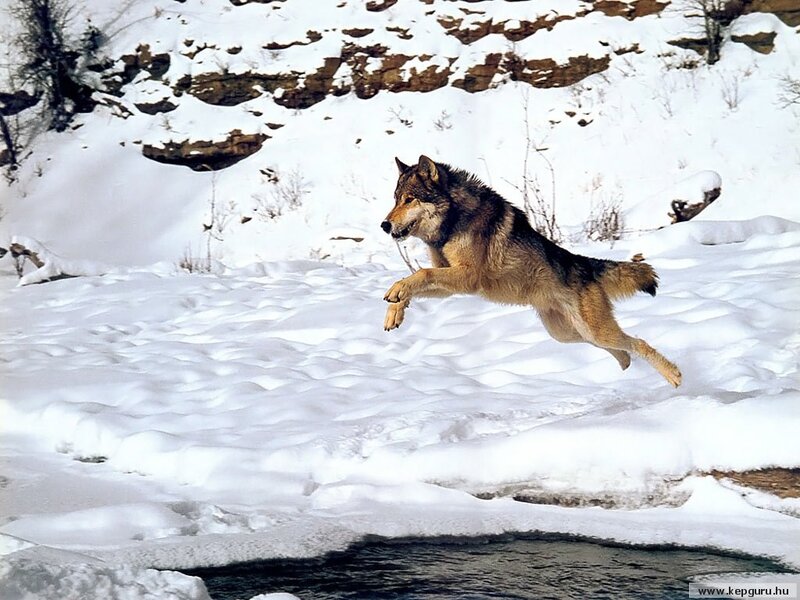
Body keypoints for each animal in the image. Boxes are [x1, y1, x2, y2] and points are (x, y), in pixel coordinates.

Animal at [381, 155, 682, 387]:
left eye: (409, 199)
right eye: (395, 199)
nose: (384, 225)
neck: (452, 220)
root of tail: (582, 263)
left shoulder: (468, 277)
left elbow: (420, 275)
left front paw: (396, 293)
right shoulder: (448, 277)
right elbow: (414, 281)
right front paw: (395, 310)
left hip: (592, 331)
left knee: (637, 342)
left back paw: (674, 376)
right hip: (569, 334)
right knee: (622, 349)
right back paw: (627, 367)